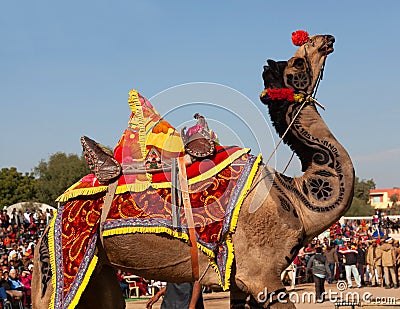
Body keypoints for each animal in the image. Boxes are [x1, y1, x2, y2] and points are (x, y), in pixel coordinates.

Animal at [32, 32, 354, 306]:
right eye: (298, 62)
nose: (327, 39)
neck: (295, 196)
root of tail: (50, 221)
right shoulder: (262, 274)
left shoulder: (239, 279)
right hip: (59, 268)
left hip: (99, 270)